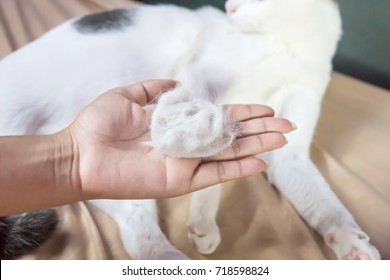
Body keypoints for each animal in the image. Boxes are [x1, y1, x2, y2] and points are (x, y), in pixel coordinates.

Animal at [0, 0, 380, 260]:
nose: (229, 6)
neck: (285, 47)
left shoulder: (293, 145)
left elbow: (322, 201)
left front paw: (350, 240)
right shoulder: (199, 74)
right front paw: (203, 218)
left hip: (95, 173)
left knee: (134, 227)